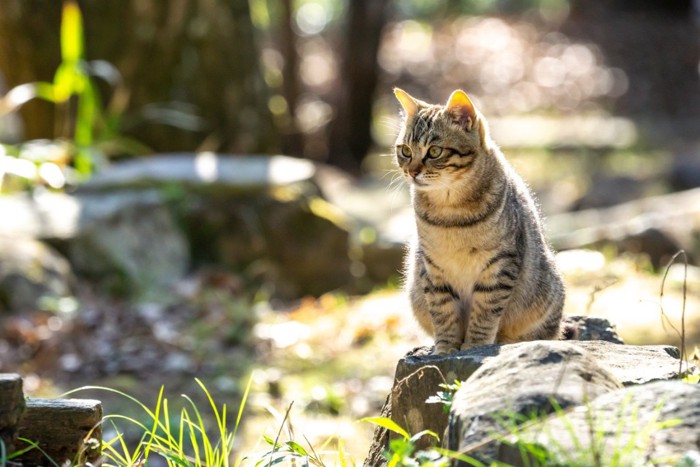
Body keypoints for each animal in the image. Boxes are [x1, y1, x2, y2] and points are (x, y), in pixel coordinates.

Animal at [394, 89, 564, 356]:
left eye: (434, 151)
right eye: (405, 151)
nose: (411, 171)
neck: (450, 212)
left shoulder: (500, 265)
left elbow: (485, 311)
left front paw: (475, 345)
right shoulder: (432, 268)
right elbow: (443, 313)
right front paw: (445, 349)